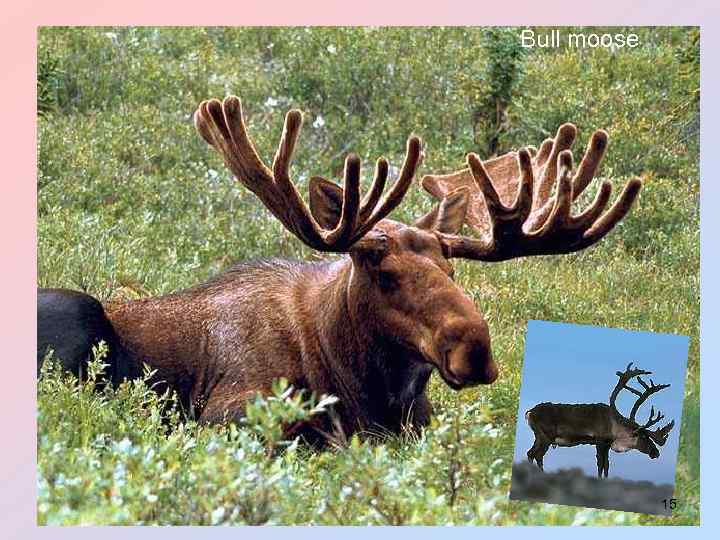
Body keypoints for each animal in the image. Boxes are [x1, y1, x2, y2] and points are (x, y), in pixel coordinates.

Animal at [37, 95, 641, 442]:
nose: (475, 348)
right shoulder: (229, 411)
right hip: (76, 312)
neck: (368, 388)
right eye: (382, 271)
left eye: (452, 271)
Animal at [525, 363, 676, 478]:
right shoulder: (600, 441)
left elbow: (606, 465)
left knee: (531, 454)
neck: (615, 428)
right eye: (644, 436)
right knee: (536, 455)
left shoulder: (607, 445)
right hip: (546, 437)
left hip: (539, 437)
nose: (656, 453)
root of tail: (529, 412)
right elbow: (601, 464)